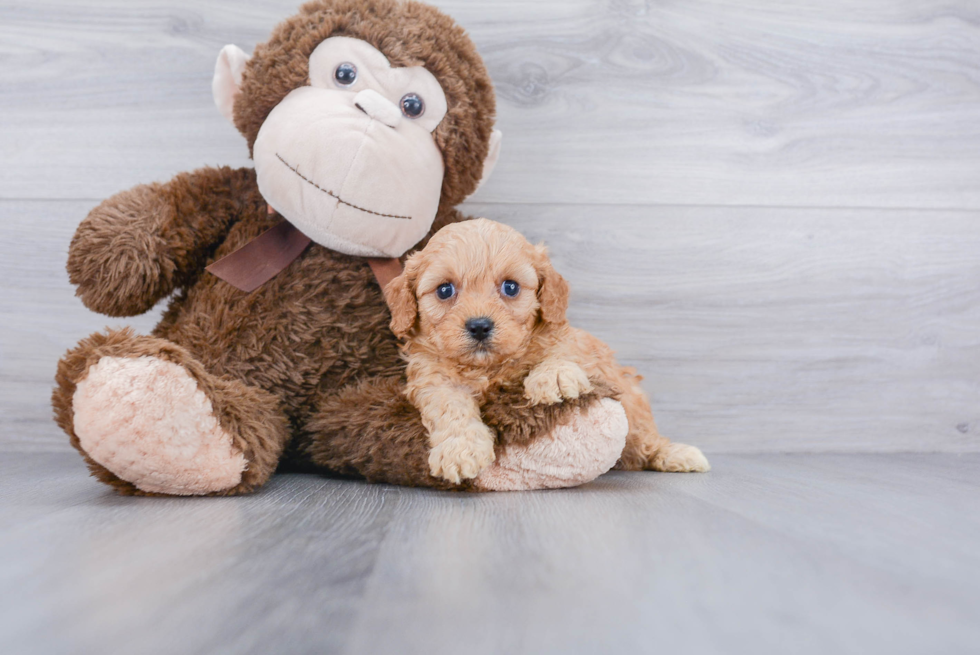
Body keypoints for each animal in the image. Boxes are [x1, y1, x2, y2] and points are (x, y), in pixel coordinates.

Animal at [384, 218, 712, 484]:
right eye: (444, 290)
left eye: (511, 287)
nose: (479, 326)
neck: (489, 368)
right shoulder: (431, 377)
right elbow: (449, 404)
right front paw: (461, 450)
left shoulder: (575, 347)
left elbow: (560, 351)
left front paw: (551, 375)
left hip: (633, 403)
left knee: (646, 440)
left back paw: (676, 454)